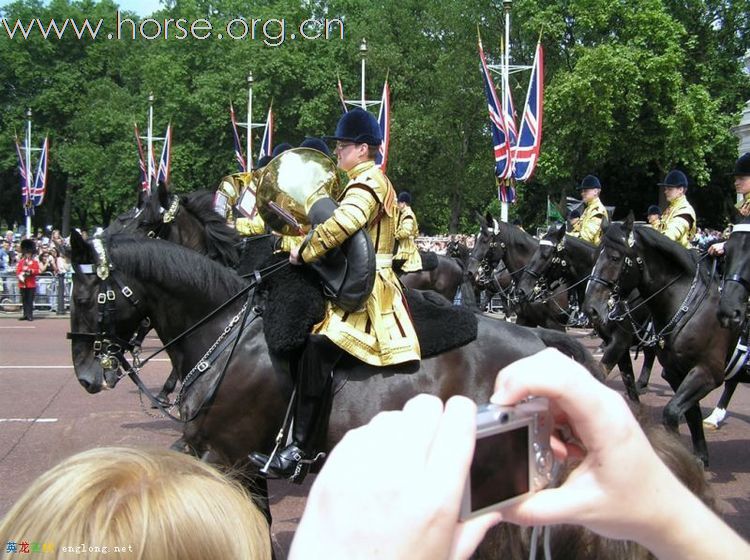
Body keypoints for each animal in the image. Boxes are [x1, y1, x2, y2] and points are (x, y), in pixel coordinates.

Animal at [67, 231, 604, 516]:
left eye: (87, 297)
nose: (86, 375)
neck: (223, 334)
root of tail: (538, 342)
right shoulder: (213, 454)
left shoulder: (229, 456)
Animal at [584, 214, 736, 464]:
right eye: (594, 257)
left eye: (615, 258)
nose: (591, 309)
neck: (688, 304)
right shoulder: (674, 371)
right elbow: (688, 413)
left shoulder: (708, 372)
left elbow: (672, 412)